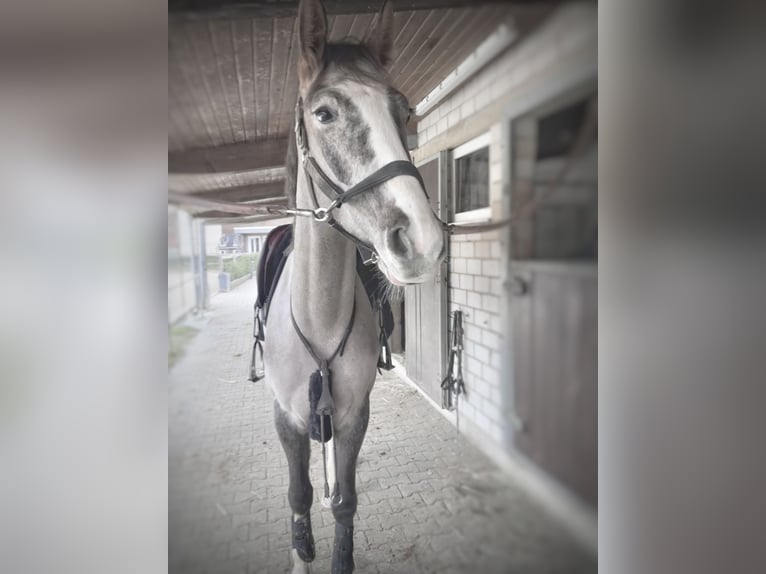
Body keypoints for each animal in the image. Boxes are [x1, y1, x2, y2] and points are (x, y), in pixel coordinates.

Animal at [262, 0, 445, 571]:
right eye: (324, 113)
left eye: (403, 111)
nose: (423, 240)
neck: (318, 319)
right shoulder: (287, 418)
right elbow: (297, 496)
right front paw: (301, 551)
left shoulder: (352, 416)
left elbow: (345, 502)